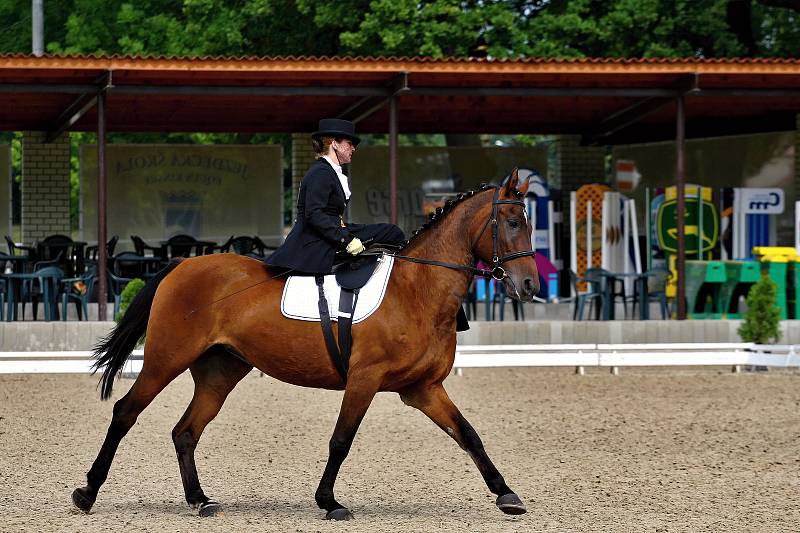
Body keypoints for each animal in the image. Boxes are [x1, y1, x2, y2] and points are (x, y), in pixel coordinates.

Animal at [72, 170, 540, 520]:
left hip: (220, 371)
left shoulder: (423, 389)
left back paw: (200, 501)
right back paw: (87, 493)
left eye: (529, 223)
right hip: (165, 359)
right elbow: (341, 440)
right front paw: (329, 503)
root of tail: (180, 266)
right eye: (513, 223)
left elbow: (469, 434)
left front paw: (506, 494)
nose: (530, 286)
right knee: (126, 412)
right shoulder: (365, 379)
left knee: (185, 431)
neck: (418, 290)